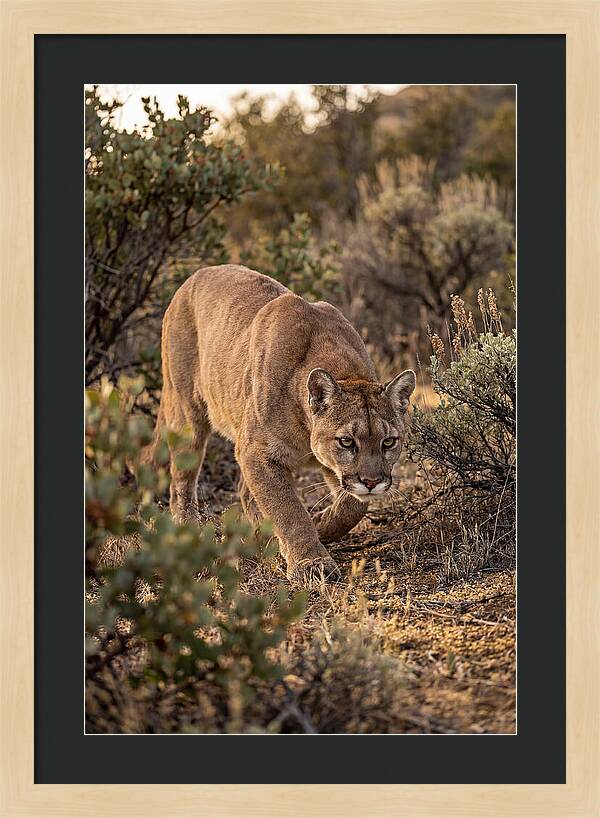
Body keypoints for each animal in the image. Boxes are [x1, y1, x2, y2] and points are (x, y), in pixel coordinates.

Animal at [144, 265, 416, 585]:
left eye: (389, 442)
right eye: (347, 441)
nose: (372, 482)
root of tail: (194, 276)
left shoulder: (326, 466)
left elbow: (353, 505)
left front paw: (321, 524)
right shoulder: (257, 452)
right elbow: (288, 509)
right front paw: (311, 563)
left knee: (244, 490)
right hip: (188, 413)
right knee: (182, 481)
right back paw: (191, 531)